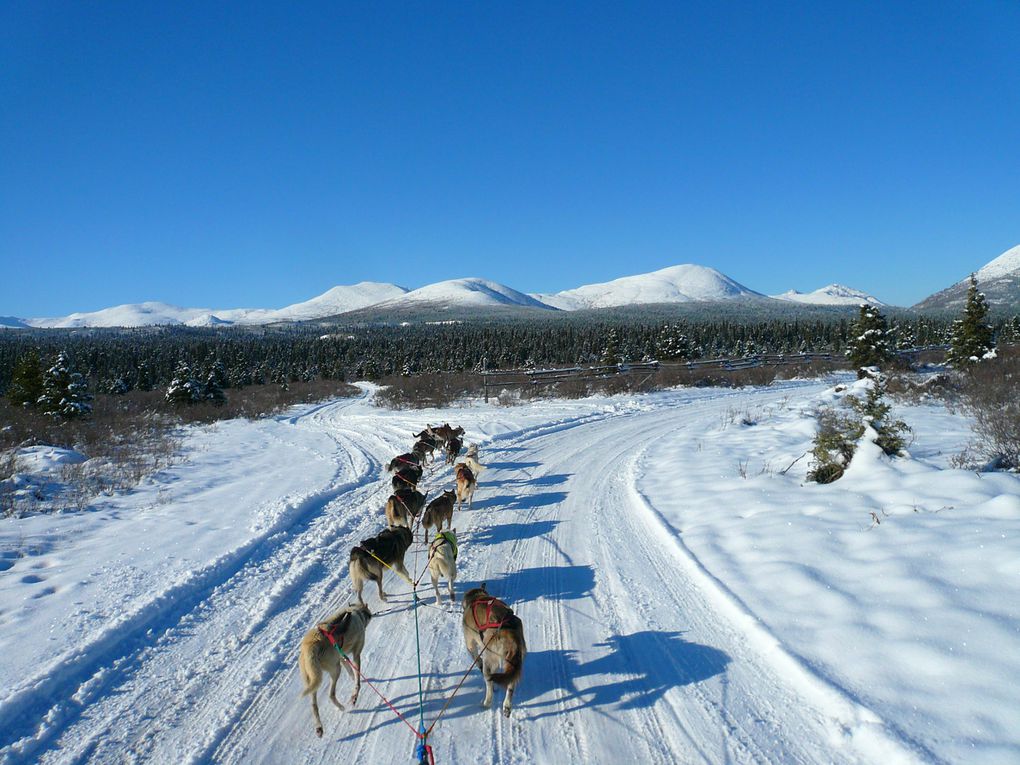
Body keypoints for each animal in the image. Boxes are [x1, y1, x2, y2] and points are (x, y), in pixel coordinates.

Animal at [297, 603, 373, 738]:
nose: (373, 614)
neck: (357, 613)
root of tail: (309, 646)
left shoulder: (342, 657)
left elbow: (351, 672)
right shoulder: (355, 655)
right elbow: (357, 677)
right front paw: (355, 693)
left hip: (312, 681)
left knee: (314, 705)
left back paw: (319, 727)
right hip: (336, 670)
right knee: (331, 695)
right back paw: (341, 707)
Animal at [463, 587, 526, 718]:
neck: (477, 597)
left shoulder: (471, 645)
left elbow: (477, 659)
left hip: (489, 658)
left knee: (489, 681)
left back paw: (486, 702)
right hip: (513, 660)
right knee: (510, 683)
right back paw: (507, 705)